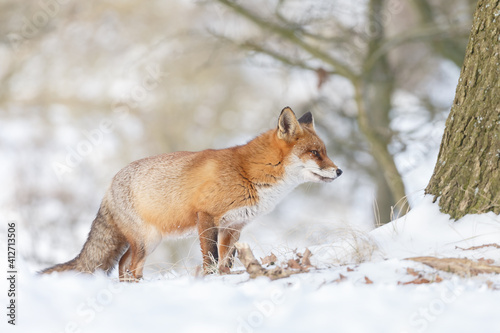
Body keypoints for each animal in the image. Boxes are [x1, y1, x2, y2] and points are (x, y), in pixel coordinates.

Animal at [43, 107, 342, 278]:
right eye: (315, 153)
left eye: (325, 151)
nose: (339, 171)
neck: (248, 172)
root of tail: (110, 185)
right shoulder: (207, 217)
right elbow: (210, 259)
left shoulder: (235, 227)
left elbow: (226, 261)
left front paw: (226, 277)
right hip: (146, 242)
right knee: (130, 267)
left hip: (148, 242)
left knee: (122, 265)